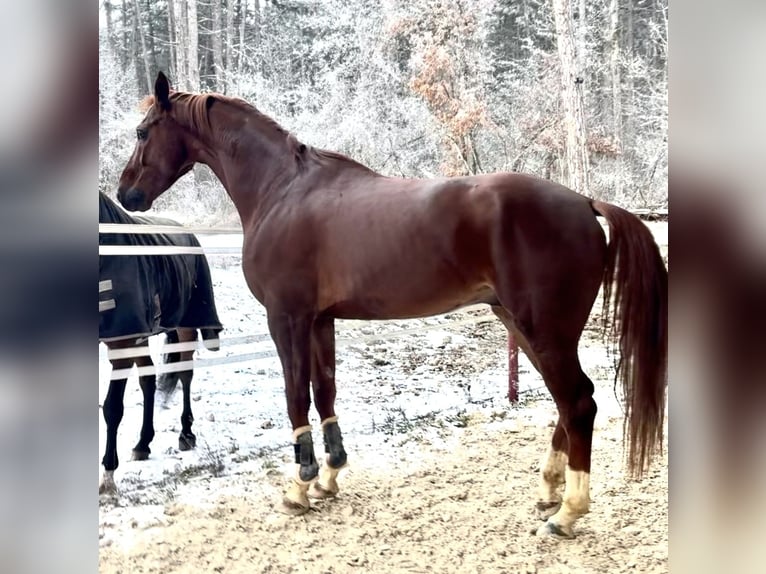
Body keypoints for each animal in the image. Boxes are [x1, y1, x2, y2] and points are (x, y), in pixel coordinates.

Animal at [99, 191, 223, 495]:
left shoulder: (122, 342)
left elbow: (112, 408)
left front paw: (108, 474)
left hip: (185, 325)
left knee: (185, 374)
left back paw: (186, 434)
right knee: (148, 379)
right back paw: (143, 444)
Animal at [116, 72, 667, 538]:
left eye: (143, 132)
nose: (127, 195)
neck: (283, 191)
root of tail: (585, 203)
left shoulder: (286, 318)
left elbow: (296, 395)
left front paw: (299, 487)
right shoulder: (320, 320)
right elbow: (325, 393)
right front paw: (330, 477)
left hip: (542, 328)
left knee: (578, 402)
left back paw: (568, 513)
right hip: (522, 323)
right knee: (569, 402)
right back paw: (548, 490)